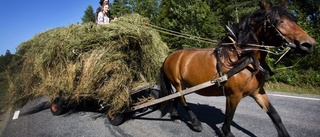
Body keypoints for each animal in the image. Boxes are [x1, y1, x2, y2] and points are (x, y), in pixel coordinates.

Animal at [159, 1, 316, 137]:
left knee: (176, 98)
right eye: (279, 21)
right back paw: (195, 122)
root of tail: (169, 56)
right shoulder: (234, 95)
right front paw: (226, 132)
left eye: (294, 19)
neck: (244, 59)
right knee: (182, 99)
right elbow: (229, 119)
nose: (309, 44)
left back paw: (175, 116)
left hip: (184, 84)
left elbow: (275, 115)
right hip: (178, 83)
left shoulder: (257, 92)